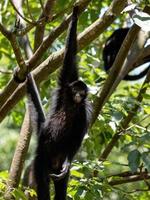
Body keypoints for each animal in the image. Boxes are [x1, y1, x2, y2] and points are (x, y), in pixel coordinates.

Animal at [25, 6, 90, 200]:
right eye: (76, 90)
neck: (73, 104)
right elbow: (69, 58)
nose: (79, 95)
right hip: (41, 160)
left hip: (57, 166)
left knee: (61, 184)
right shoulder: (65, 87)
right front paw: (75, 15)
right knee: (43, 183)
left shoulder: (82, 112)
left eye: (82, 92)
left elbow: (77, 136)